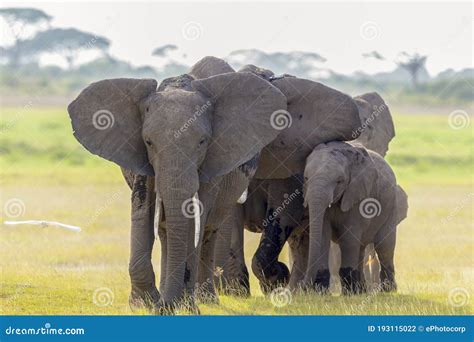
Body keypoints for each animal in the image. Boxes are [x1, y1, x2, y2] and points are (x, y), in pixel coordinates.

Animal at [67, 56, 286, 312]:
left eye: (202, 142)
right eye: (148, 142)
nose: (166, 307)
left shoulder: (213, 161)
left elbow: (194, 215)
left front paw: (184, 308)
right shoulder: (141, 158)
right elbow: (142, 211)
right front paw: (145, 304)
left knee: (209, 229)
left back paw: (204, 299)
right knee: (165, 230)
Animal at [304, 141, 408, 294]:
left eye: (339, 181)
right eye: (306, 178)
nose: (304, 287)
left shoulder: (359, 196)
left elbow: (348, 238)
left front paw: (348, 293)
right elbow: (323, 234)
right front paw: (320, 292)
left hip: (391, 207)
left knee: (384, 246)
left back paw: (387, 290)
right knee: (361, 248)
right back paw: (362, 291)